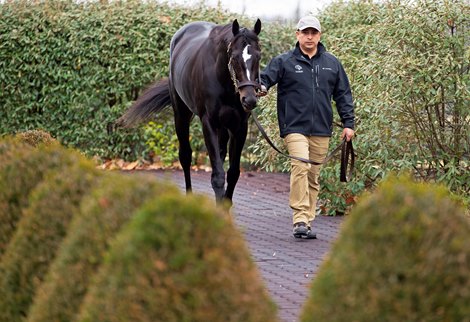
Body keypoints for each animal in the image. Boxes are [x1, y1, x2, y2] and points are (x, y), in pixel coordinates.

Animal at [117, 18, 262, 205]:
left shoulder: (240, 127)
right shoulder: (208, 123)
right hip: (181, 115)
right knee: (185, 156)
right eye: (235, 57)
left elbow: (233, 173)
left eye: (258, 56)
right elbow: (218, 176)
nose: (249, 99)